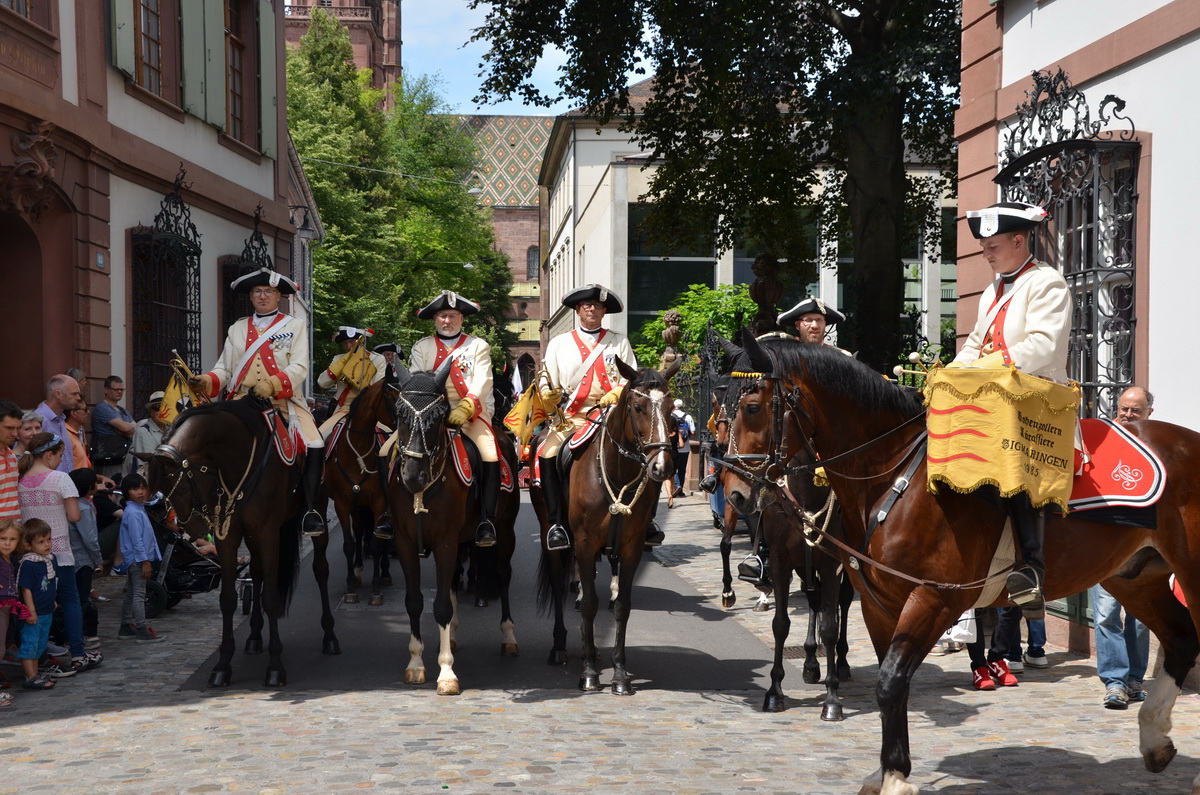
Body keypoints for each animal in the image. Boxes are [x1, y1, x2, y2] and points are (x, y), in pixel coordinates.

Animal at [149, 396, 340, 687]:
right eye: (160, 489)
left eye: (180, 485)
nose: (190, 527)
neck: (235, 460)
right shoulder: (229, 535)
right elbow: (228, 598)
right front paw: (222, 665)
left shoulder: (268, 532)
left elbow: (271, 597)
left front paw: (275, 667)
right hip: (251, 537)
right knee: (257, 573)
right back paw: (253, 637)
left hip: (315, 512)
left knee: (320, 570)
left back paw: (329, 637)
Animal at [325, 383, 394, 605]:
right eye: (393, 396)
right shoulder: (342, 504)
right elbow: (349, 543)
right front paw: (350, 587)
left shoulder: (379, 503)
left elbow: (376, 543)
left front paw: (376, 590)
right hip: (357, 506)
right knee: (359, 531)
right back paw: (356, 571)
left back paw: (385, 574)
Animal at [362, 362, 520, 695]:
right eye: (400, 414)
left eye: (438, 416)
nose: (413, 475)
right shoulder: (407, 543)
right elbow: (415, 603)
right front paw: (416, 664)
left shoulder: (445, 542)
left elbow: (442, 607)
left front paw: (446, 672)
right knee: (453, 582)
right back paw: (455, 637)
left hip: (504, 532)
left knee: (502, 576)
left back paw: (509, 637)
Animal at [532, 358, 680, 695]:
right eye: (637, 406)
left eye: (670, 407)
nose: (662, 466)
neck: (616, 470)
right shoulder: (586, 544)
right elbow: (588, 604)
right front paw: (588, 672)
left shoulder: (631, 548)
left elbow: (622, 605)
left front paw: (620, 674)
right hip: (553, 535)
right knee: (560, 586)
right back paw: (559, 647)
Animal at [711, 356, 855, 719]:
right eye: (724, 410)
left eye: (751, 408)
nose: (735, 489)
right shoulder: (780, 561)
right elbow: (781, 623)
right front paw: (775, 691)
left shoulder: (832, 563)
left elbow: (831, 624)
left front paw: (832, 698)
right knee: (814, 600)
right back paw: (810, 663)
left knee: (843, 604)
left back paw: (841, 663)